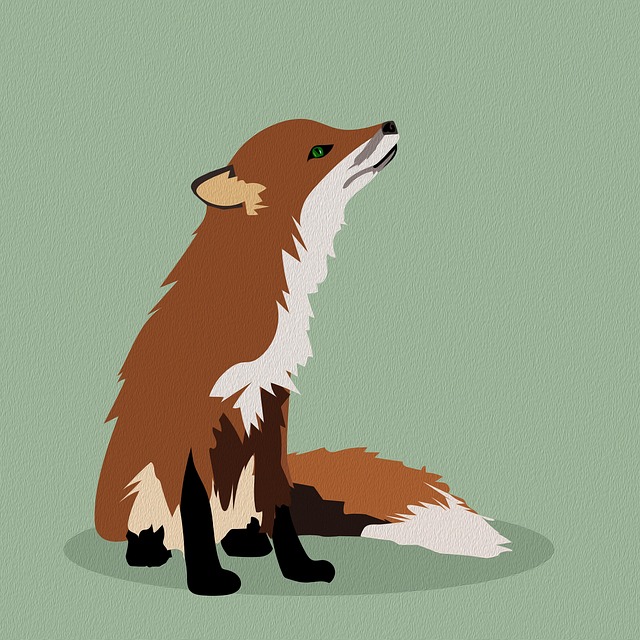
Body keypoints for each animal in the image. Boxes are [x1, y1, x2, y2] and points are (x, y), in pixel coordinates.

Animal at [95, 118, 510, 596]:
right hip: (140, 484)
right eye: (318, 150)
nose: (389, 124)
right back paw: (150, 551)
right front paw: (208, 580)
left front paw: (299, 568)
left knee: (243, 523)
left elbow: (281, 505)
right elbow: (196, 512)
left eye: (331, 131)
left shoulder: (272, 402)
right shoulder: (193, 423)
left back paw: (246, 544)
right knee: (161, 530)